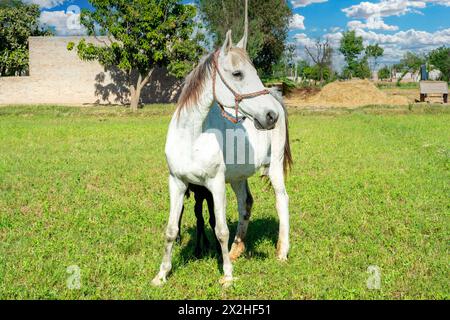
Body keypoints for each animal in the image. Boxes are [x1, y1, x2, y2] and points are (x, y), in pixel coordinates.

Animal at [152, 7, 292, 288]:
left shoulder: (215, 184)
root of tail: (276, 97)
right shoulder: (178, 183)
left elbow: (220, 230)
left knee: (282, 200)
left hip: (274, 168)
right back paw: (238, 250)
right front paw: (161, 275)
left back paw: (281, 252)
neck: (192, 137)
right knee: (245, 204)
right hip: (238, 178)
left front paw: (227, 275)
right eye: (237, 74)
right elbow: (171, 230)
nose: (270, 116)